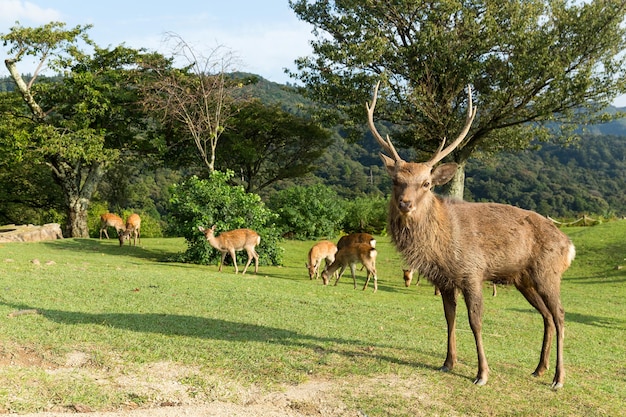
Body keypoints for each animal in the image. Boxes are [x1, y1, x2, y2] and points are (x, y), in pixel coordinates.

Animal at [366, 80, 576, 386]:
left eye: (427, 183)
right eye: (396, 180)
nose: (406, 204)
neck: (440, 247)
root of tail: (569, 245)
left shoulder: (472, 272)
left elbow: (475, 321)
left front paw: (482, 373)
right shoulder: (443, 279)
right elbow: (449, 317)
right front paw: (447, 362)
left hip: (547, 271)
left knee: (559, 314)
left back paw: (558, 378)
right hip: (523, 279)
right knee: (546, 316)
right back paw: (539, 368)